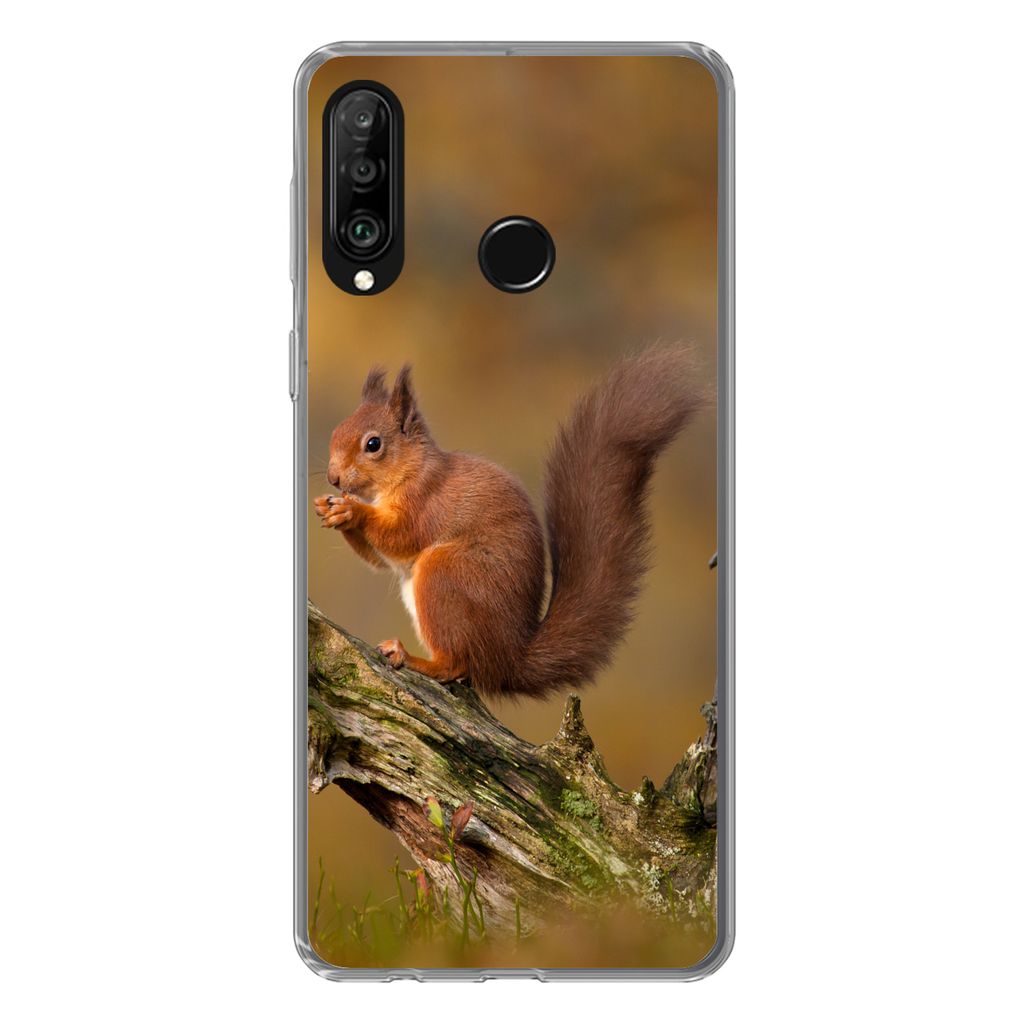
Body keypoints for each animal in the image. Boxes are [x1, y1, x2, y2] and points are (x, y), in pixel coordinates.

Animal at [313, 345, 704, 699]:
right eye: (335, 433)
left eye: (373, 444)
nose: (333, 477)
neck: (409, 471)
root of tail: (508, 659)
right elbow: (380, 561)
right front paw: (329, 509)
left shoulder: (426, 502)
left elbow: (402, 537)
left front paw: (352, 511)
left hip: (446, 573)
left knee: (456, 664)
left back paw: (413, 658)